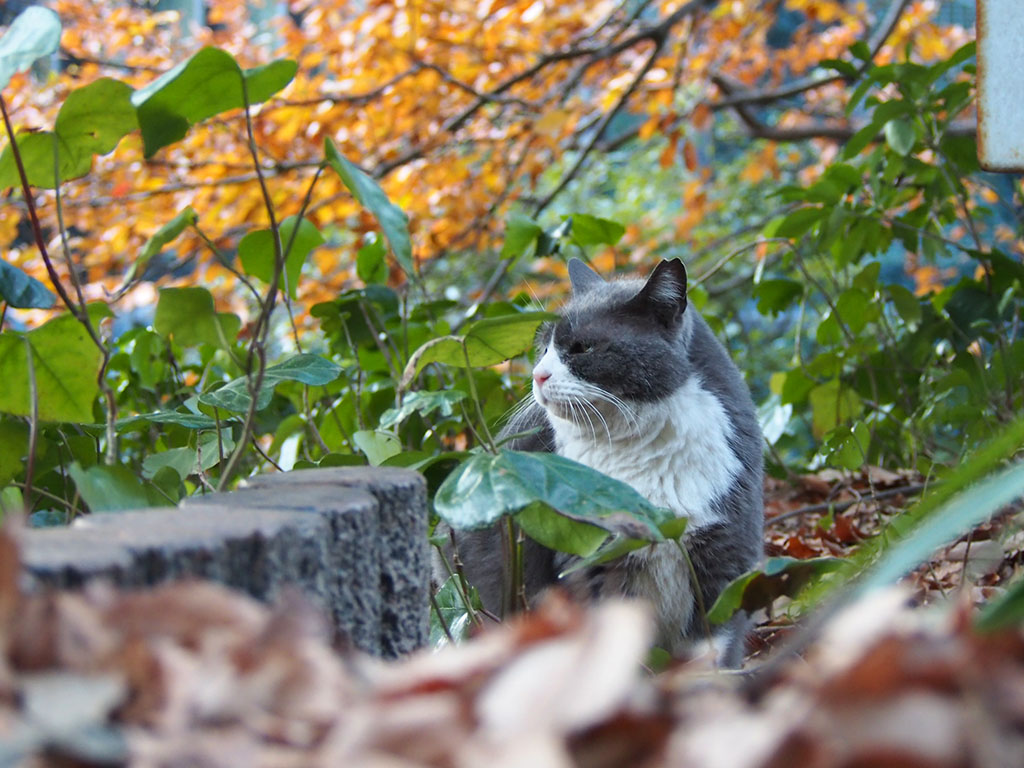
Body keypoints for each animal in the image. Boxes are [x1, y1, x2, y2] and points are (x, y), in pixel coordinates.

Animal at [454, 259, 761, 667]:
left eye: (581, 348)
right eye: (544, 347)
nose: (538, 375)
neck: (641, 448)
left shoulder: (726, 558)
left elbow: (713, 646)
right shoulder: (590, 560)